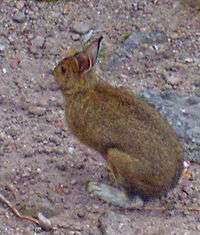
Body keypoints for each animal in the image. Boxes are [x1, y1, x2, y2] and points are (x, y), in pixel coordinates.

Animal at [52, 37, 183, 208]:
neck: (83, 89)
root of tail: (166, 187)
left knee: (133, 200)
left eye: (63, 70)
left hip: (118, 159)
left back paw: (99, 189)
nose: (53, 72)